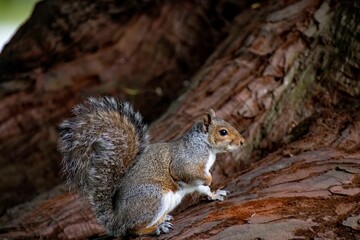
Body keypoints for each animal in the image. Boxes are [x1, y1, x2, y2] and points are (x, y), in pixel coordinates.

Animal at [58, 97, 245, 236]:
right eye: (223, 132)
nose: (242, 142)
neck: (205, 145)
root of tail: (118, 219)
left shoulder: (196, 180)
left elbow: (203, 189)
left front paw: (214, 194)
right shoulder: (187, 160)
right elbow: (187, 172)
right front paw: (210, 179)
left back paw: (163, 220)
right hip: (153, 197)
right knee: (133, 230)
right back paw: (156, 228)